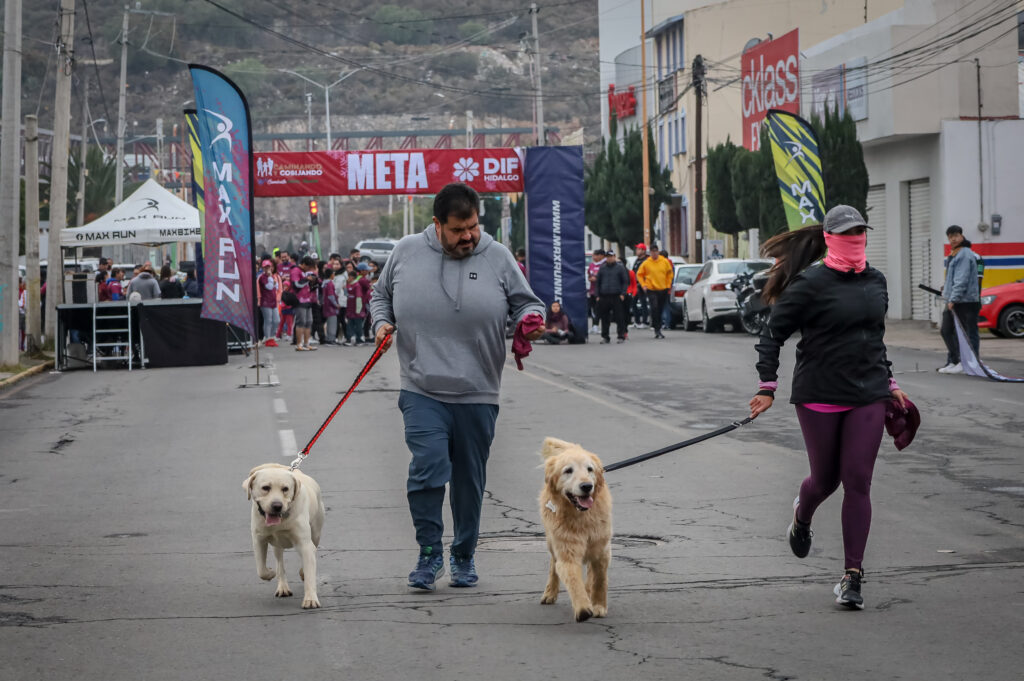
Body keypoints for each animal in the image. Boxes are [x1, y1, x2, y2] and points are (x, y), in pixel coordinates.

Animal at [241, 458, 321, 606]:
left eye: (285, 489)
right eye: (266, 488)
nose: (277, 506)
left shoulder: (305, 544)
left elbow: (309, 570)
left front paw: (310, 599)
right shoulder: (258, 540)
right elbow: (261, 570)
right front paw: (270, 573)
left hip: (316, 533)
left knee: (312, 549)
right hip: (277, 546)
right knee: (280, 564)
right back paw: (283, 587)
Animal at [540, 436, 610, 622]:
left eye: (589, 469)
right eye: (568, 471)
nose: (586, 486)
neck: (581, 517)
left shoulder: (602, 548)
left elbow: (599, 580)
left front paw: (599, 605)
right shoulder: (567, 552)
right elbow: (573, 579)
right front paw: (583, 608)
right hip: (552, 542)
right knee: (553, 564)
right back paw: (549, 593)